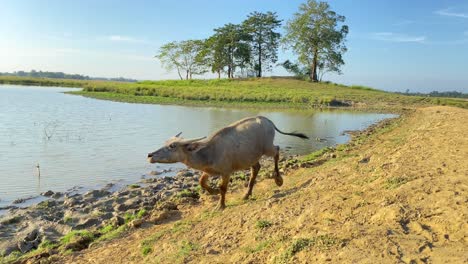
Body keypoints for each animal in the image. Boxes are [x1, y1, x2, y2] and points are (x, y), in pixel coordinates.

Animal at [146, 116, 308, 209]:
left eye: (172, 146)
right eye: (166, 142)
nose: (150, 155)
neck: (209, 152)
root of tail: (268, 121)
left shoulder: (226, 172)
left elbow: (223, 188)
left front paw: (221, 204)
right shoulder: (209, 171)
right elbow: (201, 182)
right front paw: (213, 192)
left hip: (267, 147)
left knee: (277, 151)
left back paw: (278, 179)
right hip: (251, 157)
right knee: (256, 168)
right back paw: (246, 194)